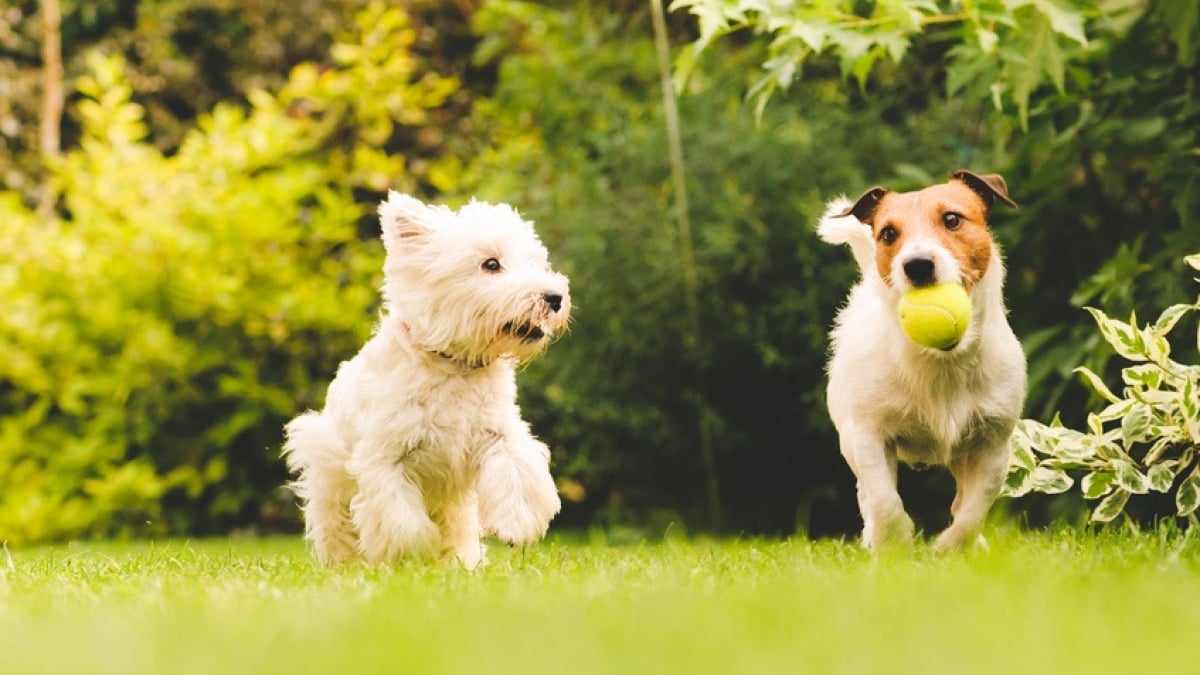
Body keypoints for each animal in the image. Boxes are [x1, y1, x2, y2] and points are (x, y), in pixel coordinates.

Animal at [288, 192, 573, 564]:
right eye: (491, 264)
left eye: (537, 262)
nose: (554, 297)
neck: (454, 365)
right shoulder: (385, 456)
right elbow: (403, 522)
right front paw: (412, 555)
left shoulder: (498, 432)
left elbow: (515, 468)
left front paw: (515, 526)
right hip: (327, 473)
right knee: (337, 528)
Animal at [820, 170, 1027, 550]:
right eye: (888, 233)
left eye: (952, 219)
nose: (916, 265)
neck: (941, 361)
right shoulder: (868, 436)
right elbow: (884, 499)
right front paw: (895, 540)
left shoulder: (993, 445)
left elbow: (975, 508)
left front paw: (952, 546)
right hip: (851, 440)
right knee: (867, 494)